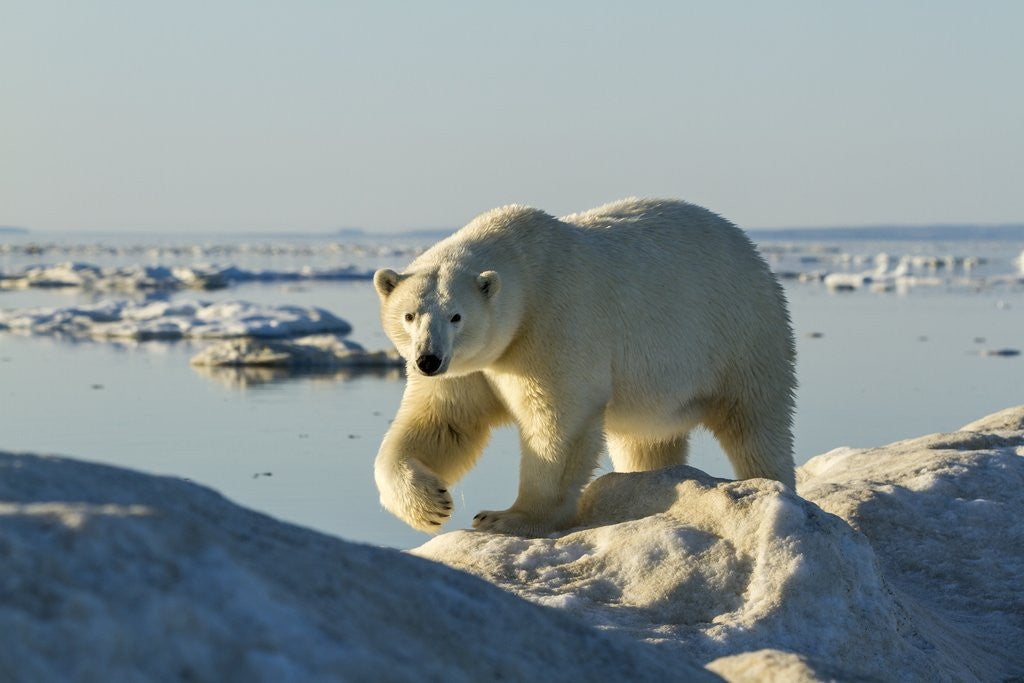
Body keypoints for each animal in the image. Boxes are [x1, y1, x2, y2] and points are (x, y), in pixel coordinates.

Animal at [372, 198, 796, 536]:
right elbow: (444, 422)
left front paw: (506, 517)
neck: (526, 267)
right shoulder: (474, 365)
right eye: (410, 315)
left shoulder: (555, 322)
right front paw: (431, 503)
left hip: (741, 332)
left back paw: (771, 483)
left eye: (456, 316)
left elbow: (559, 421)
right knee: (645, 441)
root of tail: (750, 248)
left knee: (755, 423)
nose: (428, 360)